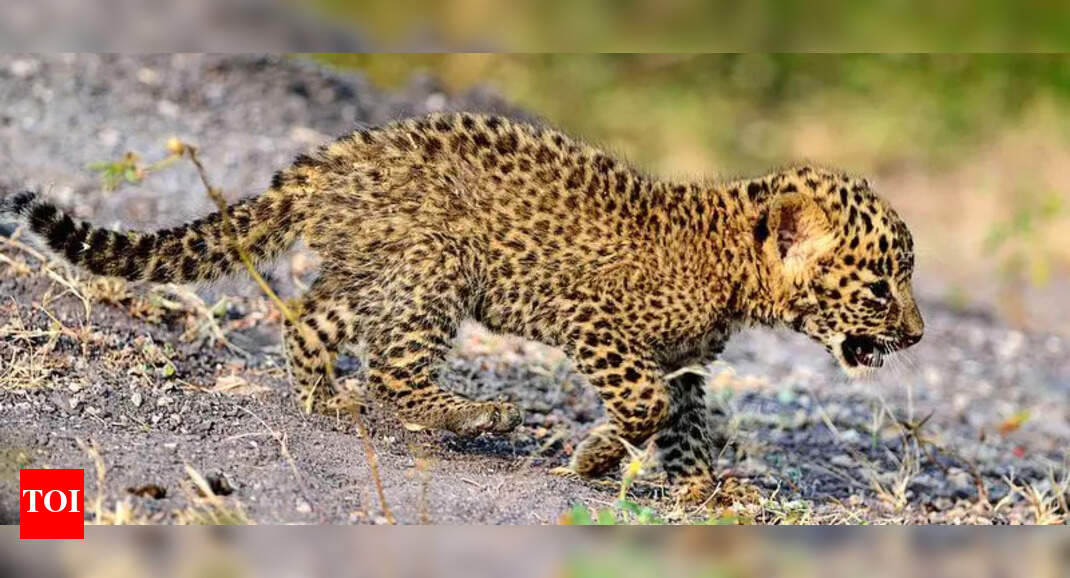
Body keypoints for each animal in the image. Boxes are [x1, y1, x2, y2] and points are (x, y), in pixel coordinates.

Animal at [1, 112, 923, 501]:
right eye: (881, 285)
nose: (916, 334)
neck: (733, 265)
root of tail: (322, 165)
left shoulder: (684, 364)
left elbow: (688, 423)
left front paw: (701, 492)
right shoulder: (596, 321)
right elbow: (644, 406)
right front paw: (592, 461)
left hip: (379, 270)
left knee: (311, 322)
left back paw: (323, 398)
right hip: (432, 267)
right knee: (394, 370)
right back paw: (478, 415)